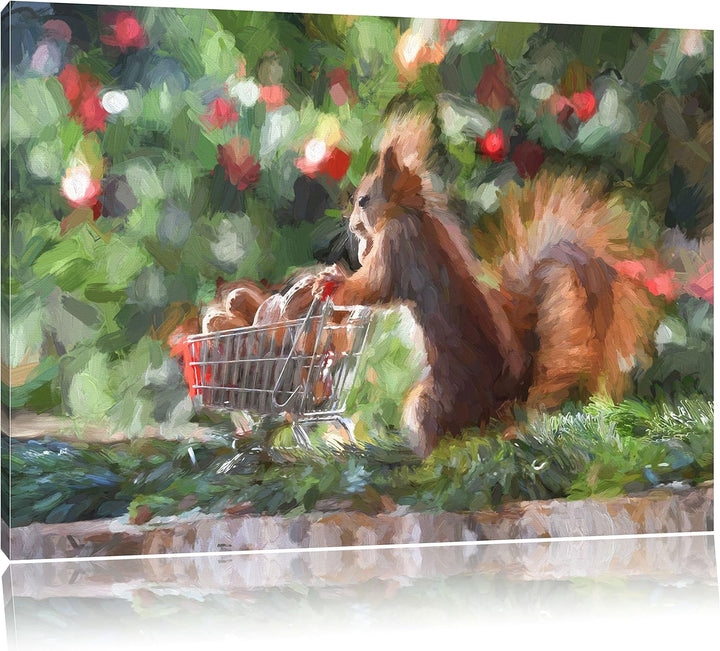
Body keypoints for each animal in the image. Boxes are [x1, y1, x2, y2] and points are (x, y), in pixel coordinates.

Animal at [313, 112, 661, 457]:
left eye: (363, 200)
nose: (352, 227)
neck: (411, 212)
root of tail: (499, 408)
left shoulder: (399, 247)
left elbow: (374, 285)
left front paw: (333, 283)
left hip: (433, 401)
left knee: (441, 440)